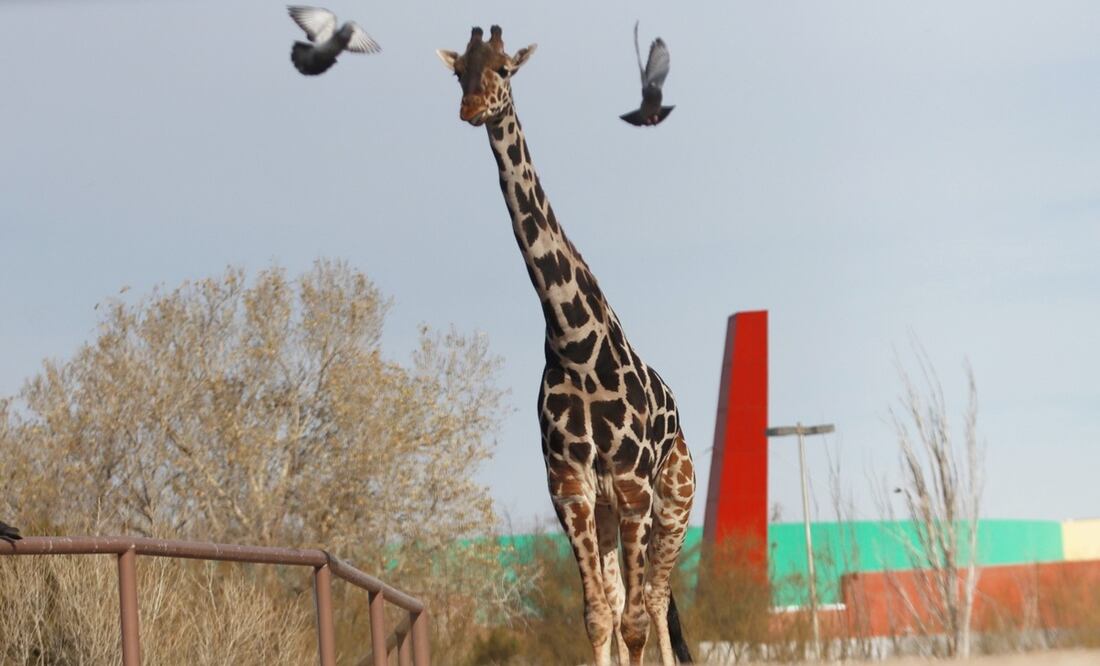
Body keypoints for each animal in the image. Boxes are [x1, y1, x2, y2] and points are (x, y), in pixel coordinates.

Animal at [437, 26, 696, 666]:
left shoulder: (631, 485)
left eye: (504, 69)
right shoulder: (571, 488)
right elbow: (599, 615)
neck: (575, 343)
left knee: (655, 598)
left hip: (673, 500)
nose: (471, 108)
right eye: (459, 72)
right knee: (629, 596)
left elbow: (633, 621)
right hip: (608, 513)